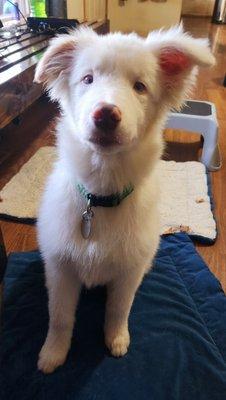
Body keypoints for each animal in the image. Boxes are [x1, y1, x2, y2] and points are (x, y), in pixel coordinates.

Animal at [34, 25, 214, 374]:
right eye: (87, 79)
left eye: (140, 86)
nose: (105, 114)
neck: (99, 199)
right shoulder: (60, 269)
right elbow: (59, 316)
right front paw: (53, 353)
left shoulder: (129, 272)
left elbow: (118, 310)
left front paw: (116, 340)